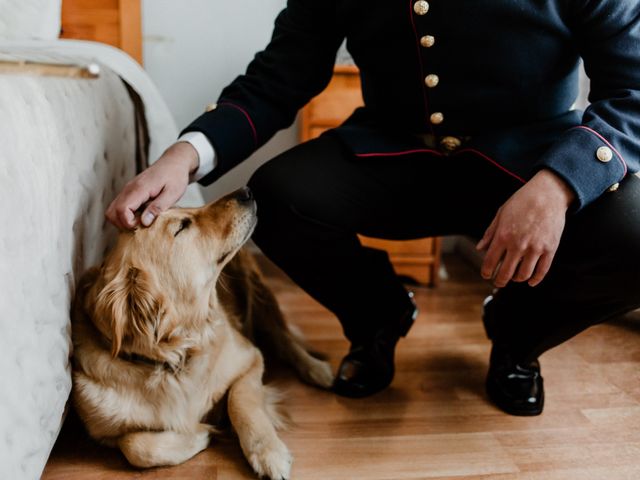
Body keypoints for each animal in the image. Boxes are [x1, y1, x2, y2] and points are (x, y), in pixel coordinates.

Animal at [71, 188, 336, 480]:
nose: (245, 191)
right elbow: (135, 445)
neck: (176, 356)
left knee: (285, 340)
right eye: (182, 226)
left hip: (257, 292)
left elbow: (240, 402)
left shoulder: (250, 358)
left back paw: (318, 370)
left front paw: (268, 452)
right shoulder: (102, 428)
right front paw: (200, 434)